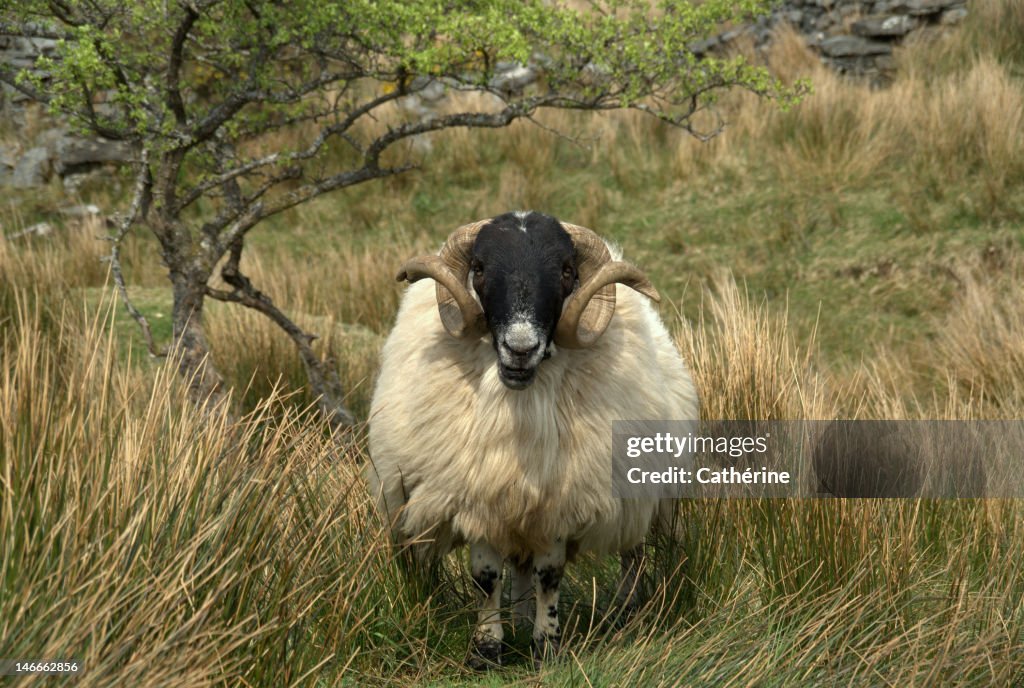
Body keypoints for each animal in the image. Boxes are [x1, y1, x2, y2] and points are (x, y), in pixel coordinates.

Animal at [364, 211, 700, 667]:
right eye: (479, 268)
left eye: (566, 272)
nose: (520, 348)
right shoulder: (480, 494)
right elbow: (486, 577)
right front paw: (487, 648)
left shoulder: (562, 502)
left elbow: (549, 576)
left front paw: (547, 645)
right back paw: (519, 619)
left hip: (643, 492)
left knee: (631, 553)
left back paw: (626, 610)